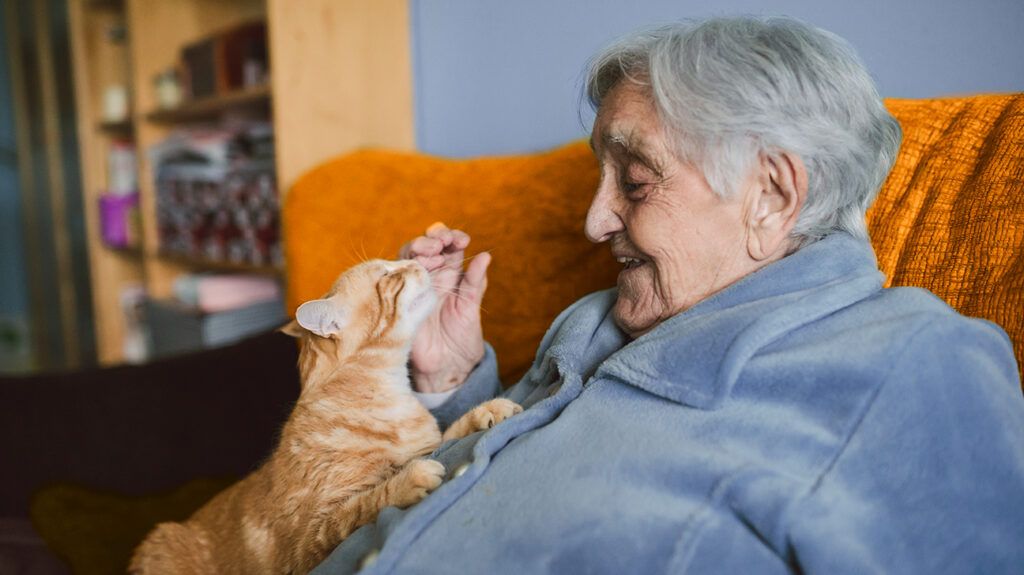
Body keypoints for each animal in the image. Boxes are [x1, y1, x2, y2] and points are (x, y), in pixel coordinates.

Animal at [130, 259, 520, 572]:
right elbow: (366, 503)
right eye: (388, 275)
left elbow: (450, 432)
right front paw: (410, 479)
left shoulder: (427, 443)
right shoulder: (309, 542)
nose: (419, 261)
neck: (388, 396)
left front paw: (489, 409)